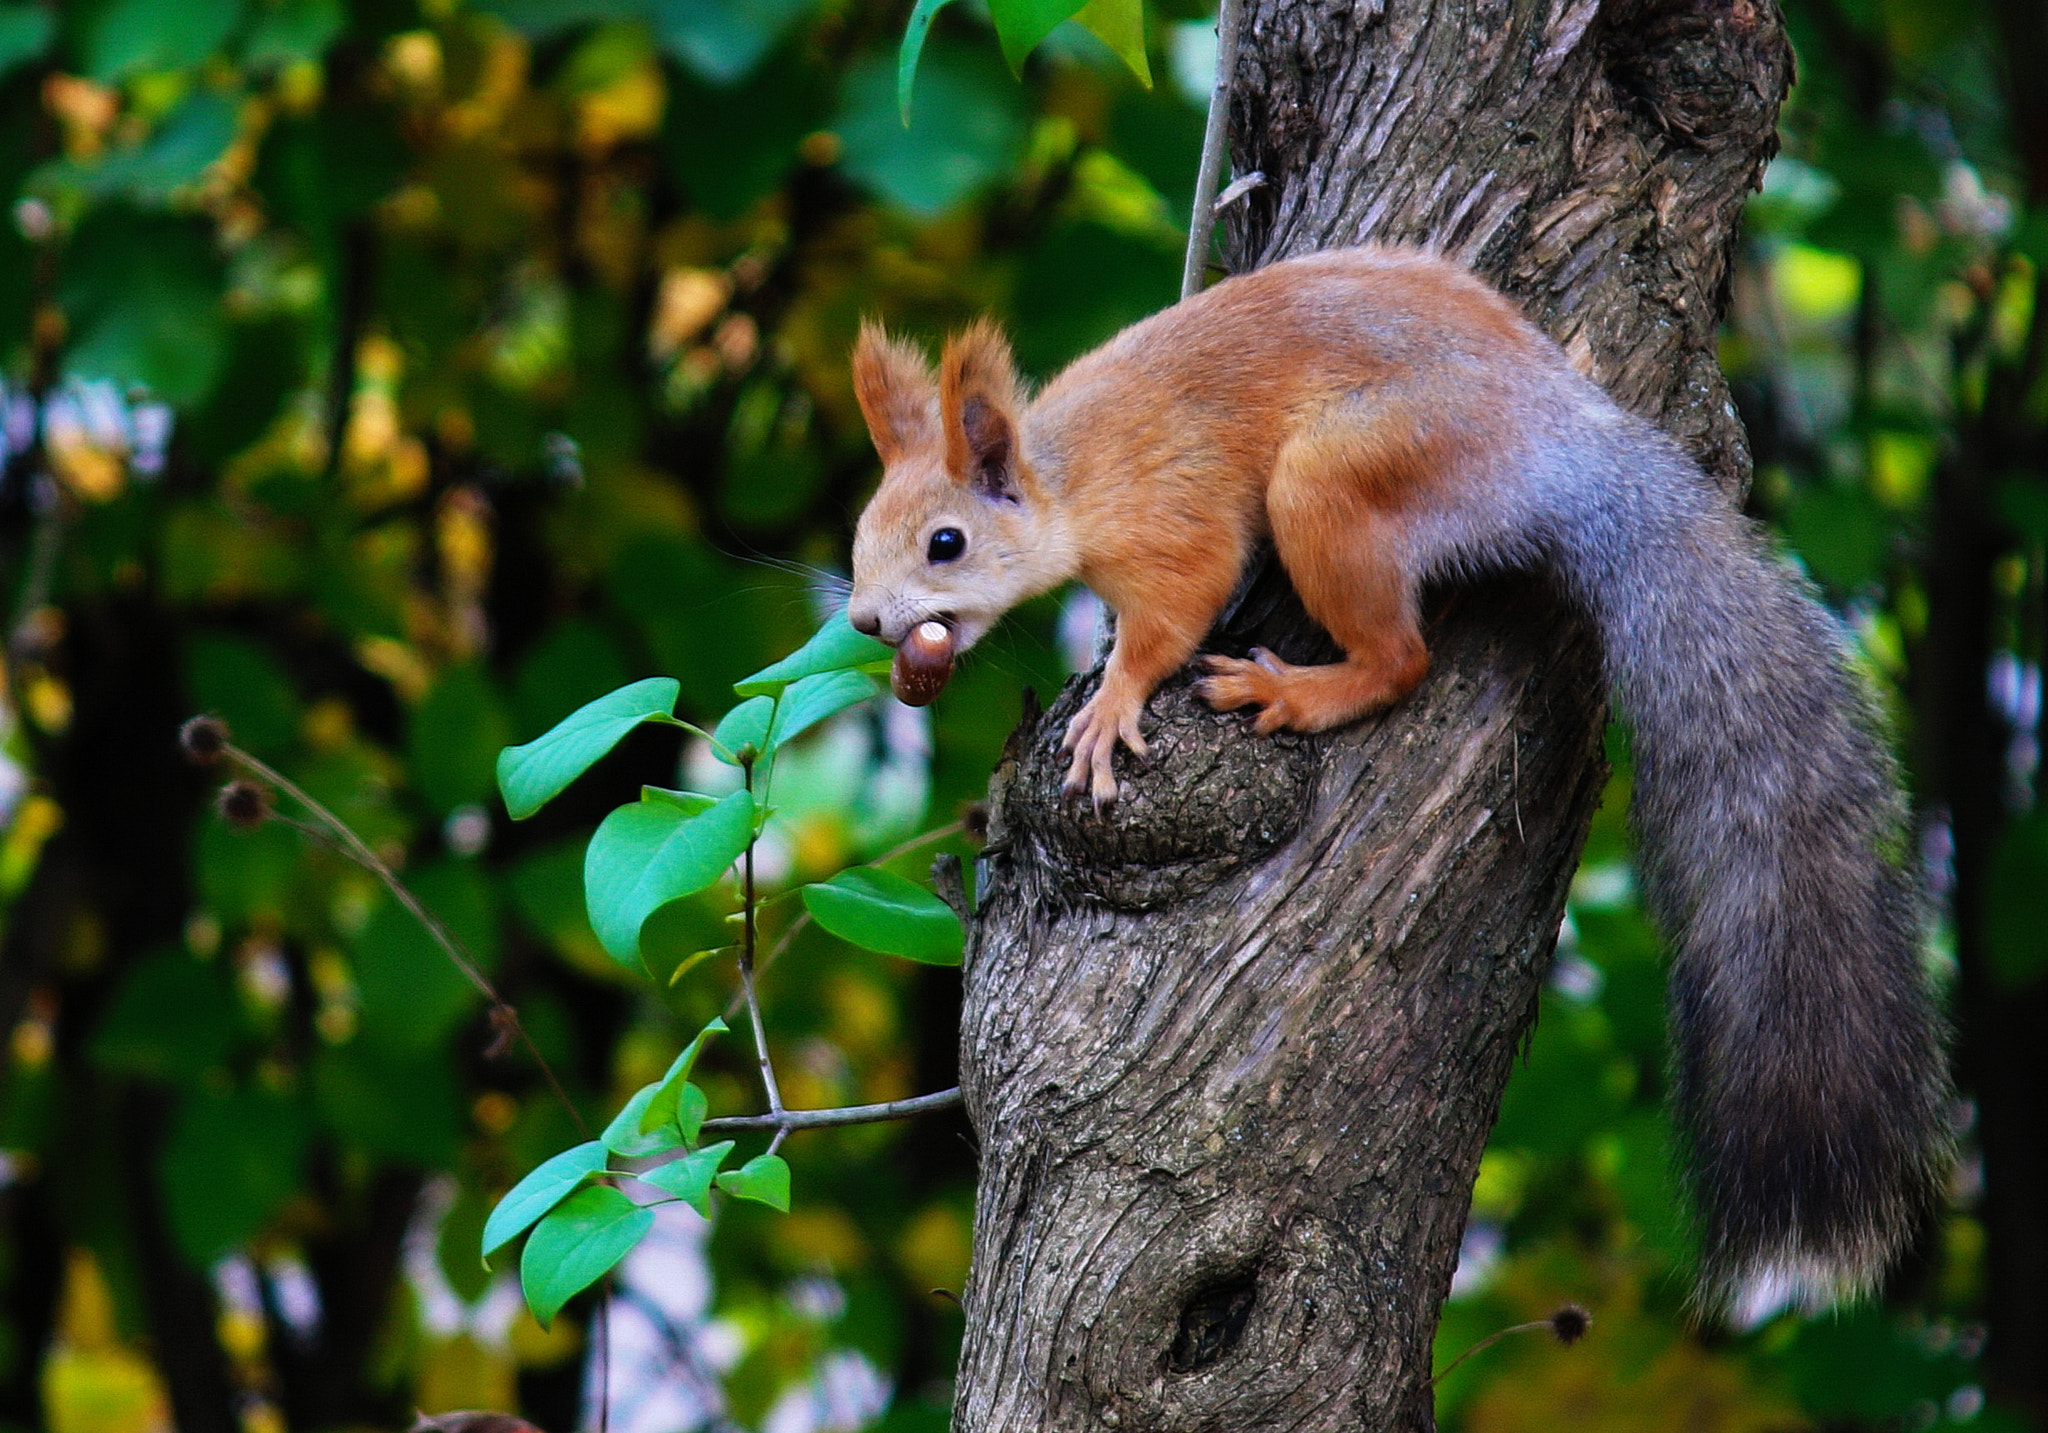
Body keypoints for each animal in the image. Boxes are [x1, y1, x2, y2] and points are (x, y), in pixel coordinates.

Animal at [842, 244, 1950, 1316]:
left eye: (947, 543)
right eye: (857, 540)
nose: (863, 621)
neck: (1068, 475)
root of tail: (1560, 447)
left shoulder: (1172, 514)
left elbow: (1177, 610)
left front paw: (1111, 700)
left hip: (1337, 477)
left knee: (1399, 659)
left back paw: (1298, 690)